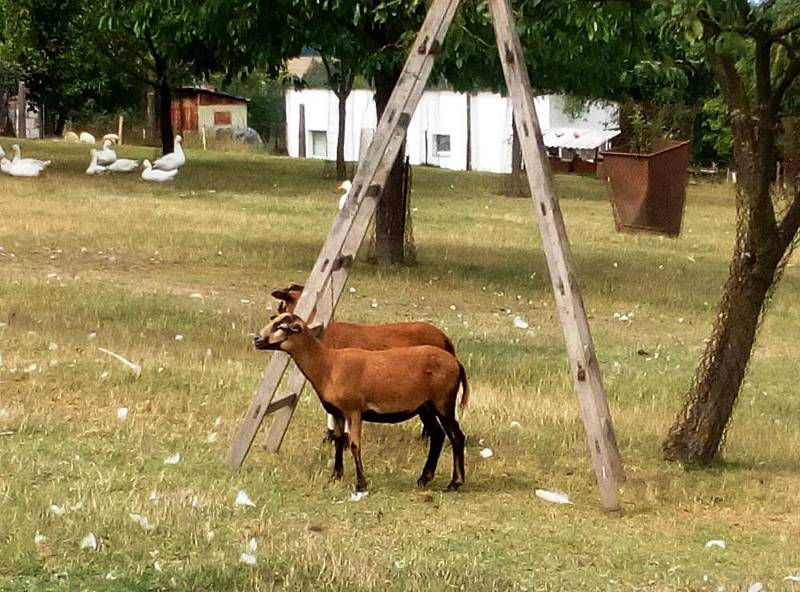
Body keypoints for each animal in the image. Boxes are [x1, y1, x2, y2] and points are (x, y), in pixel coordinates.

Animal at [256, 312, 468, 492]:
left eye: (281, 326)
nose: (256, 340)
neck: (328, 365)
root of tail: (456, 363)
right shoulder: (337, 412)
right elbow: (339, 441)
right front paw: (335, 476)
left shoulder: (354, 410)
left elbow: (355, 444)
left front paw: (361, 484)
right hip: (425, 406)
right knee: (438, 435)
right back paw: (424, 479)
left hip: (443, 402)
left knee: (456, 436)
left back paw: (455, 483)